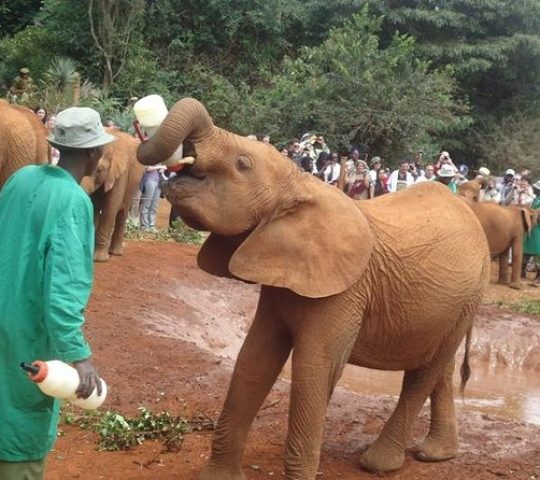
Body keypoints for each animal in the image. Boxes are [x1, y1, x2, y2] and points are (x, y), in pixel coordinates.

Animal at [80, 127, 143, 262]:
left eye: (99, 170)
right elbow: (93, 208)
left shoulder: (120, 173)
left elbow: (110, 208)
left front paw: (99, 259)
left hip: (132, 186)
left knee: (122, 214)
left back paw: (116, 253)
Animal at [137, 98, 492, 480]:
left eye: (242, 164)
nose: (143, 123)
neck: (299, 184)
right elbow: (254, 360)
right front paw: (219, 478)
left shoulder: (344, 292)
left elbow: (313, 369)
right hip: (455, 299)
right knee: (439, 366)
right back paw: (435, 454)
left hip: (472, 295)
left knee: (424, 372)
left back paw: (379, 463)